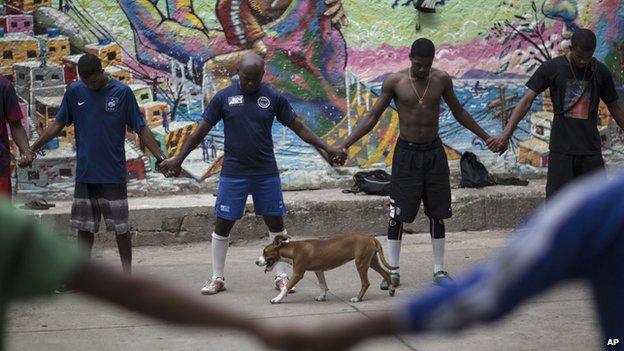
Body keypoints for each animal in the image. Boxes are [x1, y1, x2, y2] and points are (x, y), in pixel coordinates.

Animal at [256, 232, 398, 304]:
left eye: (265, 252)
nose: (256, 262)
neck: (291, 250)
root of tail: (371, 238)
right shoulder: (319, 270)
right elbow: (323, 285)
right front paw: (322, 297)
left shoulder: (298, 273)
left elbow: (286, 286)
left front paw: (277, 299)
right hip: (372, 261)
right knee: (386, 273)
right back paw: (391, 289)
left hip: (361, 263)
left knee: (366, 283)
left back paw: (358, 298)